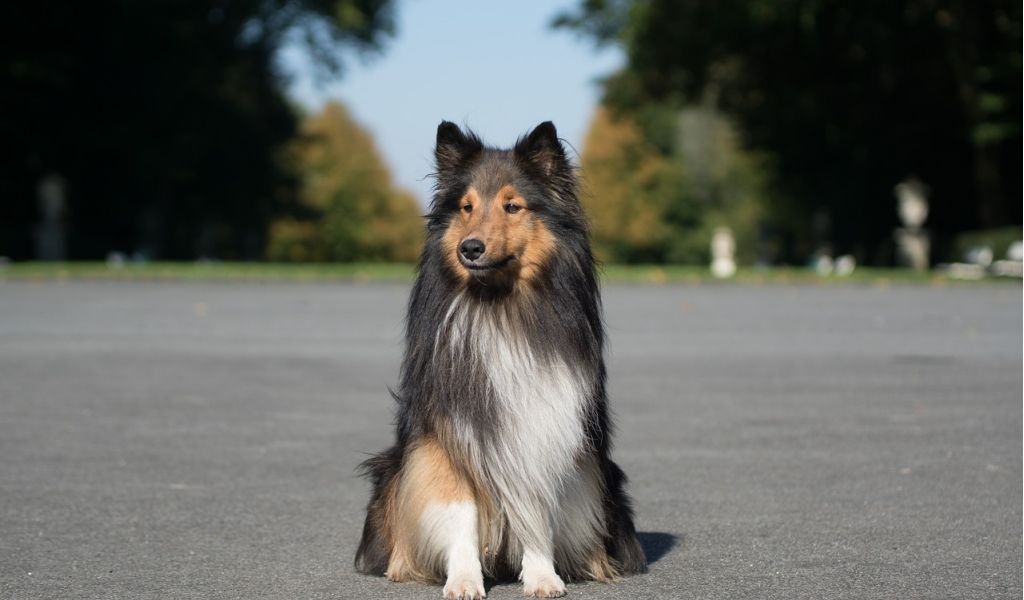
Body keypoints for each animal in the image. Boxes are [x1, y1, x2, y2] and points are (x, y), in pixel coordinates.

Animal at [356, 119, 643, 593]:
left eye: (512, 206)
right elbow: (459, 512)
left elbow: (536, 511)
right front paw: (463, 580)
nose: (469, 248)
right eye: (466, 207)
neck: (499, 308)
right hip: (394, 469)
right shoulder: (447, 435)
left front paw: (543, 576)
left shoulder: (545, 426)